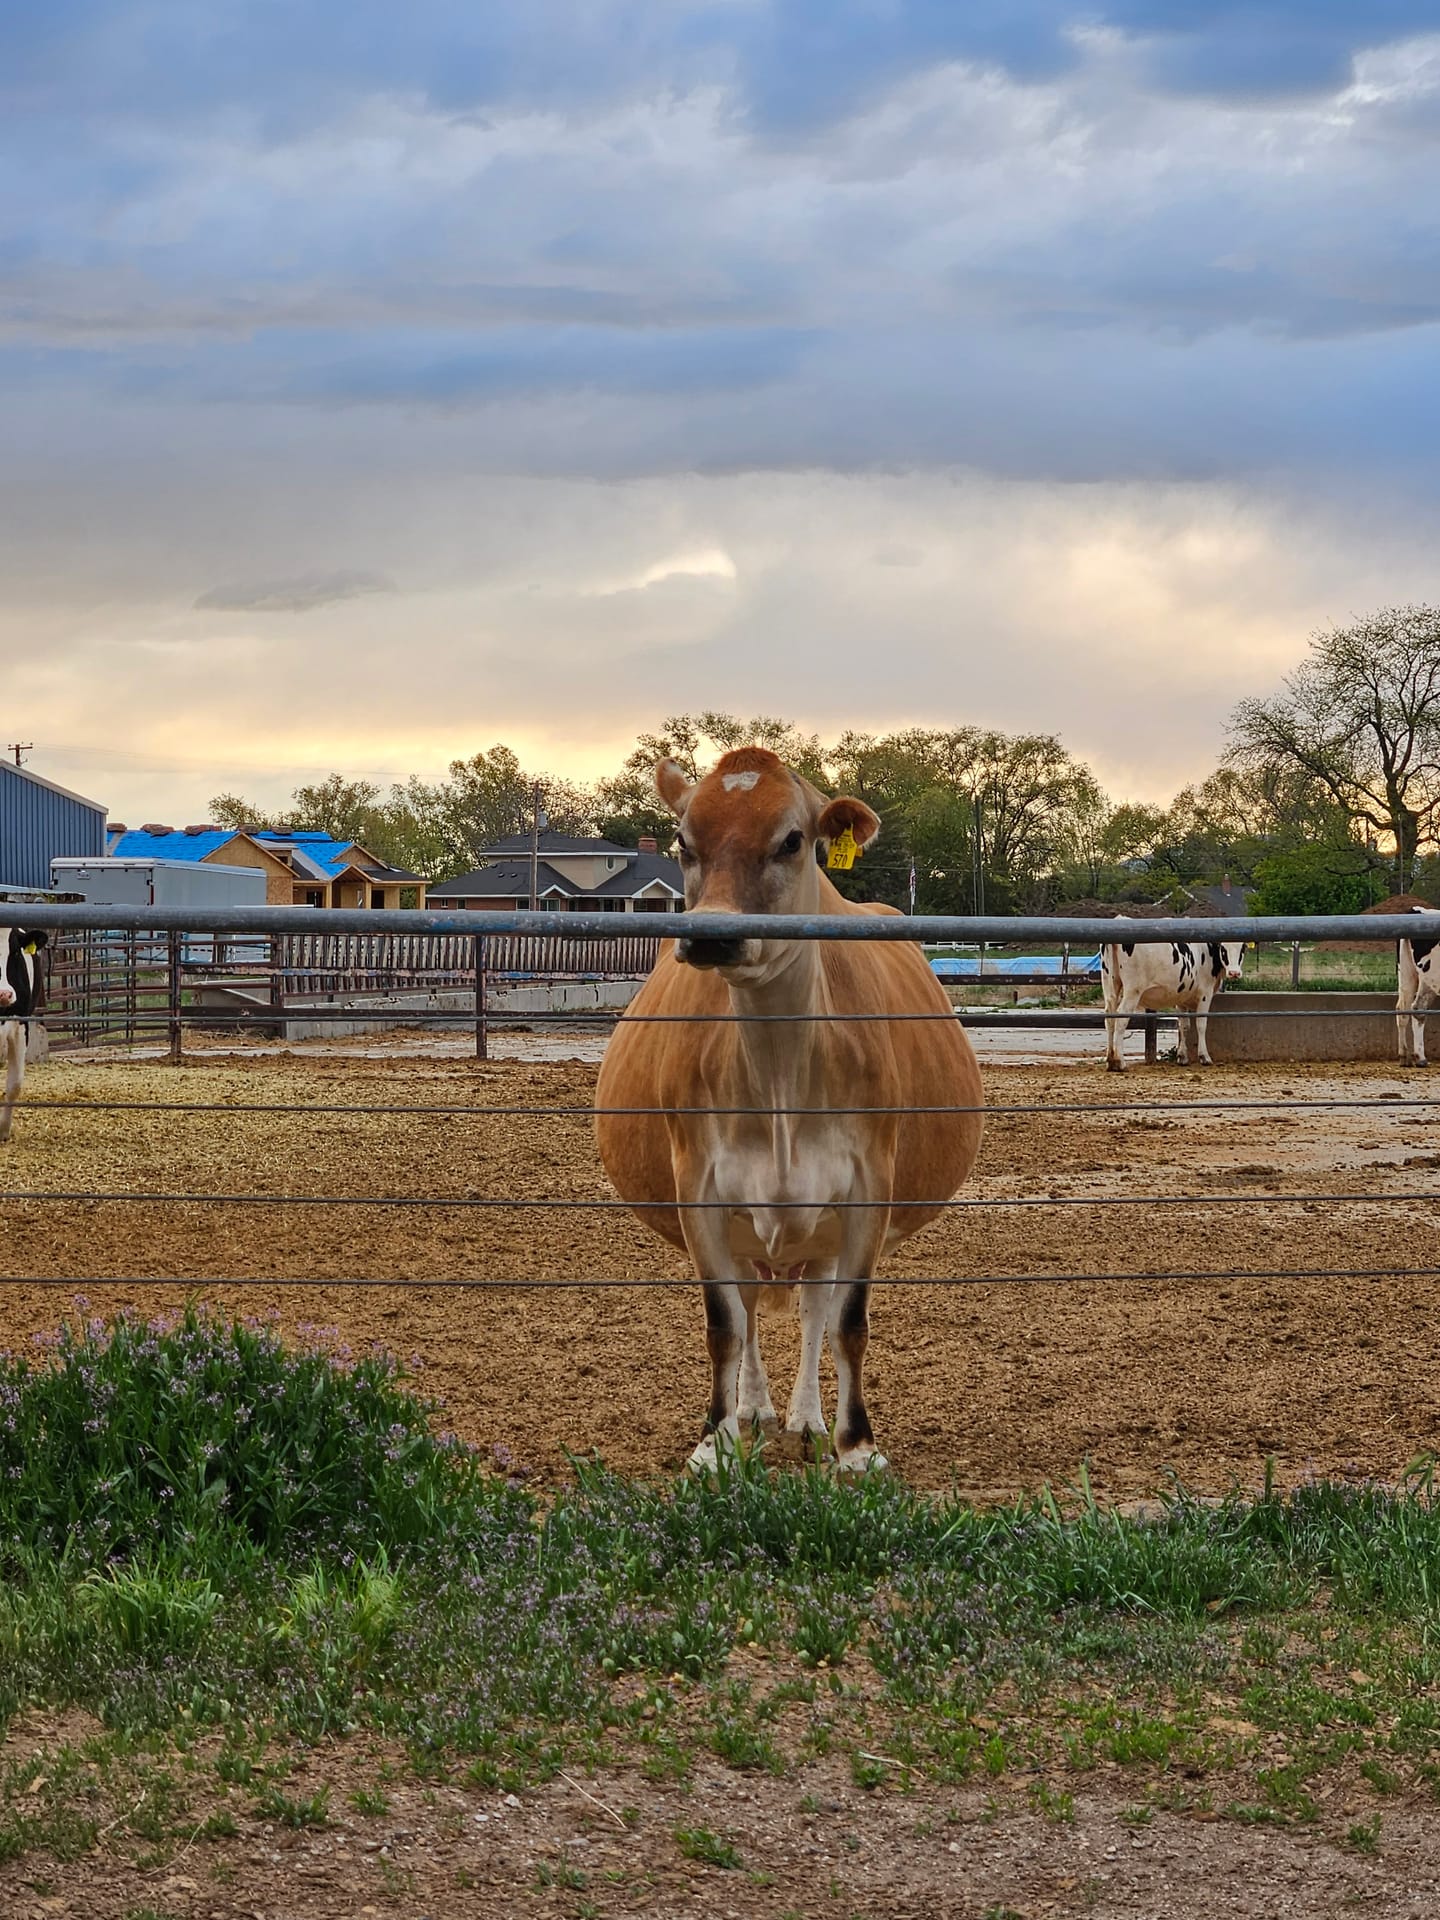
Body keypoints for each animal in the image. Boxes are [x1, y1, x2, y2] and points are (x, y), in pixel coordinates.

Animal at [595, 748, 985, 1476]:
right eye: (683, 841)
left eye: (792, 840)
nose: (713, 937)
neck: (779, 1073)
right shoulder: (699, 1189)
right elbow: (723, 1323)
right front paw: (714, 1443)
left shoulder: (868, 1186)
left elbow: (848, 1322)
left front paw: (857, 1447)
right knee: (751, 1307)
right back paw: (755, 1412)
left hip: (821, 1230)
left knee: (812, 1310)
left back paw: (806, 1420)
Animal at [1101, 929, 1244, 1072]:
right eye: (1223, 948)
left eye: (1243, 948)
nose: (1234, 973)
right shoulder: (1205, 993)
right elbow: (1201, 1025)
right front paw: (1204, 1057)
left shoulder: (1181, 997)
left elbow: (1183, 1026)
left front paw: (1182, 1057)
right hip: (1133, 990)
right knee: (1121, 1017)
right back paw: (1120, 1061)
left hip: (1110, 985)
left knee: (1109, 1017)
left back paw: (1110, 1060)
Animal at [1396, 909, 1440, 1066]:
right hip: (1431, 975)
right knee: (1417, 1008)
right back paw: (1420, 1057)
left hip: (1407, 973)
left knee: (1404, 1010)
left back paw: (1404, 1056)